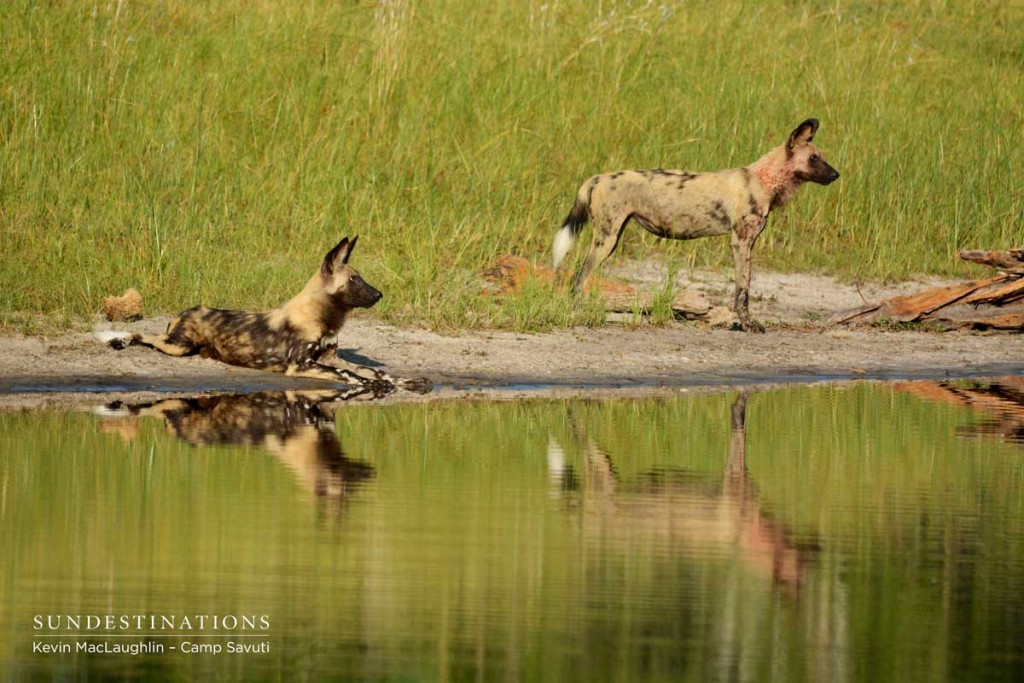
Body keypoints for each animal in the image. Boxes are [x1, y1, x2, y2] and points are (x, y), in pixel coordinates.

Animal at [98, 237, 428, 395]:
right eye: (353, 281)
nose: (379, 295)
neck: (322, 317)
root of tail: (185, 311)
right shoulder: (302, 364)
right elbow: (354, 377)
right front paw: (374, 386)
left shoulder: (331, 357)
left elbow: (374, 371)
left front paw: (405, 381)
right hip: (177, 346)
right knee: (146, 335)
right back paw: (118, 341)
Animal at [552, 118, 839, 331]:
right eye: (813, 158)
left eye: (821, 156)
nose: (836, 174)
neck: (763, 181)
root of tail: (598, 177)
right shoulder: (741, 242)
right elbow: (743, 291)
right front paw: (747, 325)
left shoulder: (748, 243)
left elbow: (743, 288)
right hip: (606, 239)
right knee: (578, 277)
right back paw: (577, 313)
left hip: (613, 236)